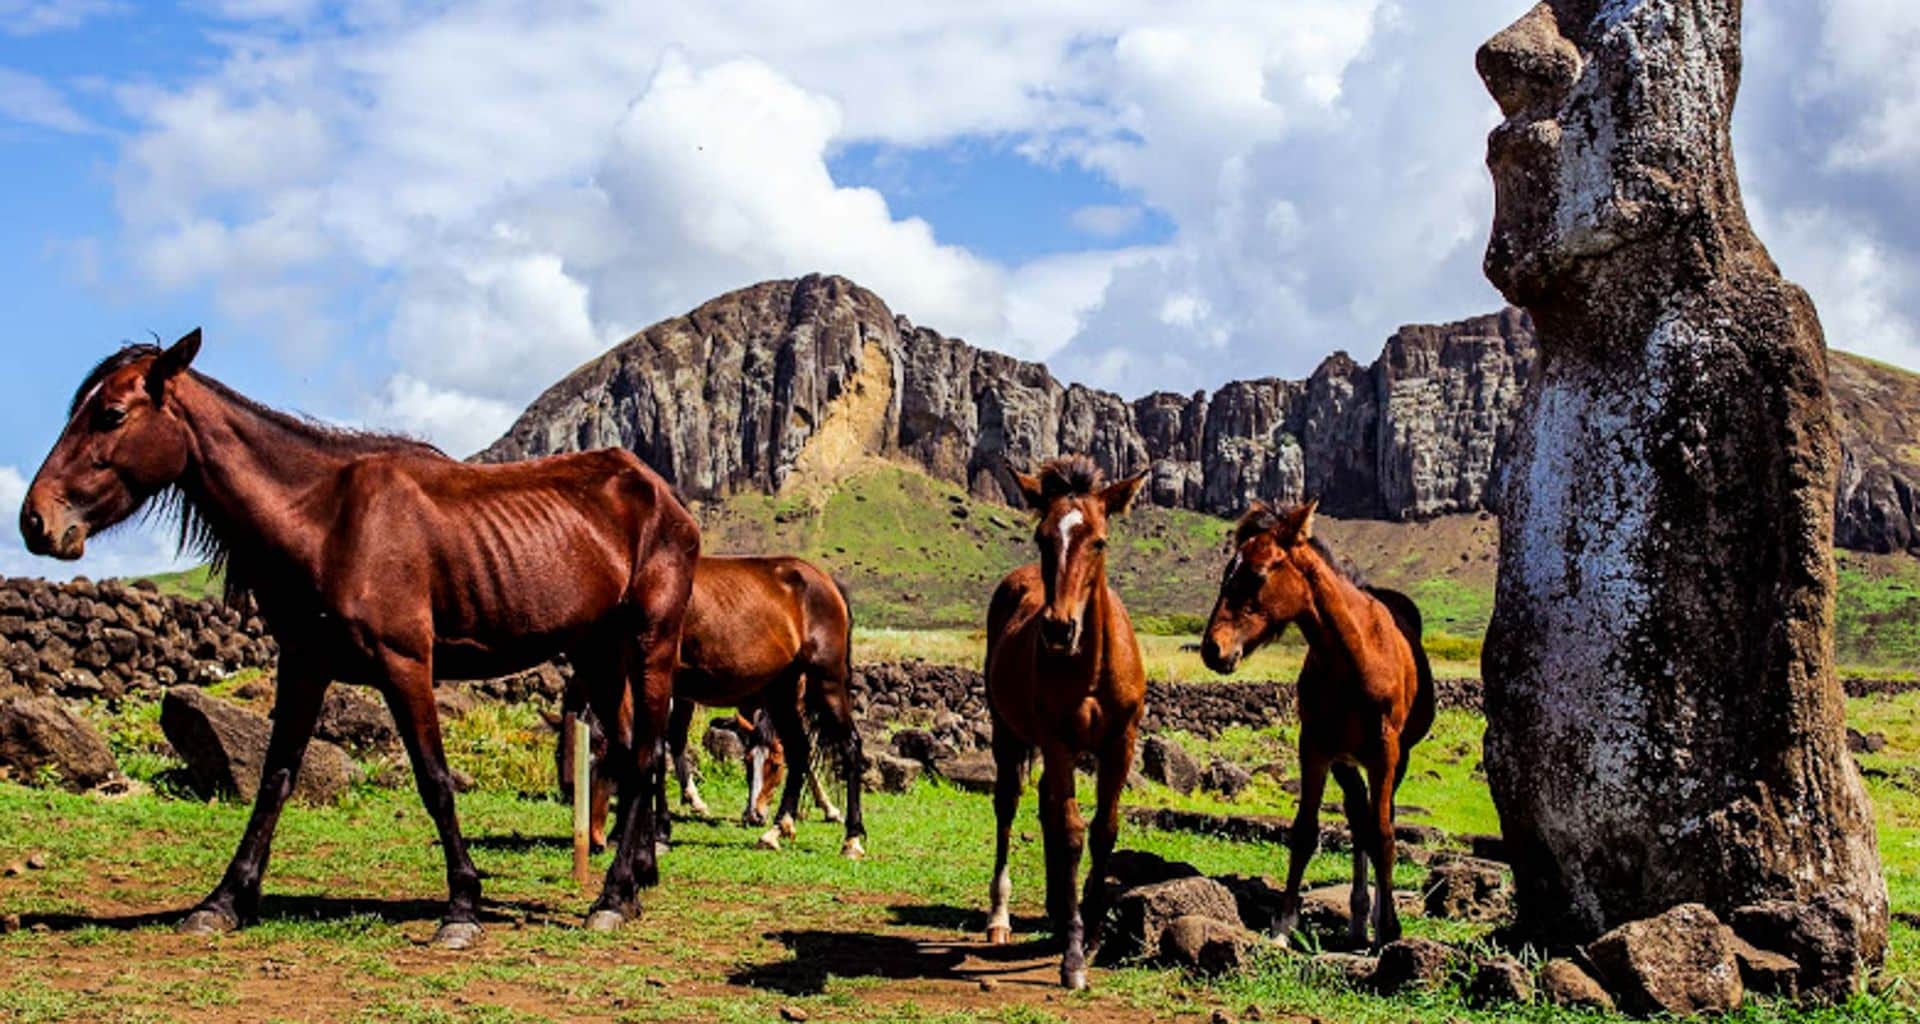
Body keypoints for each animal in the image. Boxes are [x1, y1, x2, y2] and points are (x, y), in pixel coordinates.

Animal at [18, 331, 699, 946]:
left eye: (111, 414)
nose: (35, 521)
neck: (326, 521)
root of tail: (661, 495)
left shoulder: (405, 664)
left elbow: (434, 780)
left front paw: (462, 907)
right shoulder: (304, 665)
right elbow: (275, 779)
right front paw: (224, 901)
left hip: (650, 648)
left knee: (645, 756)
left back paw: (611, 897)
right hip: (598, 654)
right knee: (629, 755)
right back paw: (635, 881)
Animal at [559, 554, 865, 857]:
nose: (592, 839)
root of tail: (826, 582)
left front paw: (658, 833)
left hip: (827, 680)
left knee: (849, 746)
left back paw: (852, 838)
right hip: (782, 690)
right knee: (799, 749)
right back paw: (775, 831)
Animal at [983, 455, 1147, 991]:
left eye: (1099, 540)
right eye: (1041, 538)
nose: (1058, 629)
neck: (1091, 665)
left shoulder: (1120, 743)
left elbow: (1104, 830)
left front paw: (1090, 932)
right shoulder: (1057, 741)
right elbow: (1074, 831)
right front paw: (1074, 956)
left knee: (1045, 807)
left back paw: (1058, 911)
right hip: (1007, 733)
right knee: (1010, 805)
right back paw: (1001, 917)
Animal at [1199, 499, 1433, 949]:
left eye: (1257, 574)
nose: (1212, 650)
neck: (1353, 657)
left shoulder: (1385, 752)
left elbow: (1384, 834)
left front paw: (1390, 929)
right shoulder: (1316, 748)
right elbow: (1305, 831)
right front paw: (1282, 926)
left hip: (1396, 760)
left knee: (1377, 822)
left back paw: (1374, 918)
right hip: (1346, 762)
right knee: (1358, 820)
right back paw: (1358, 918)